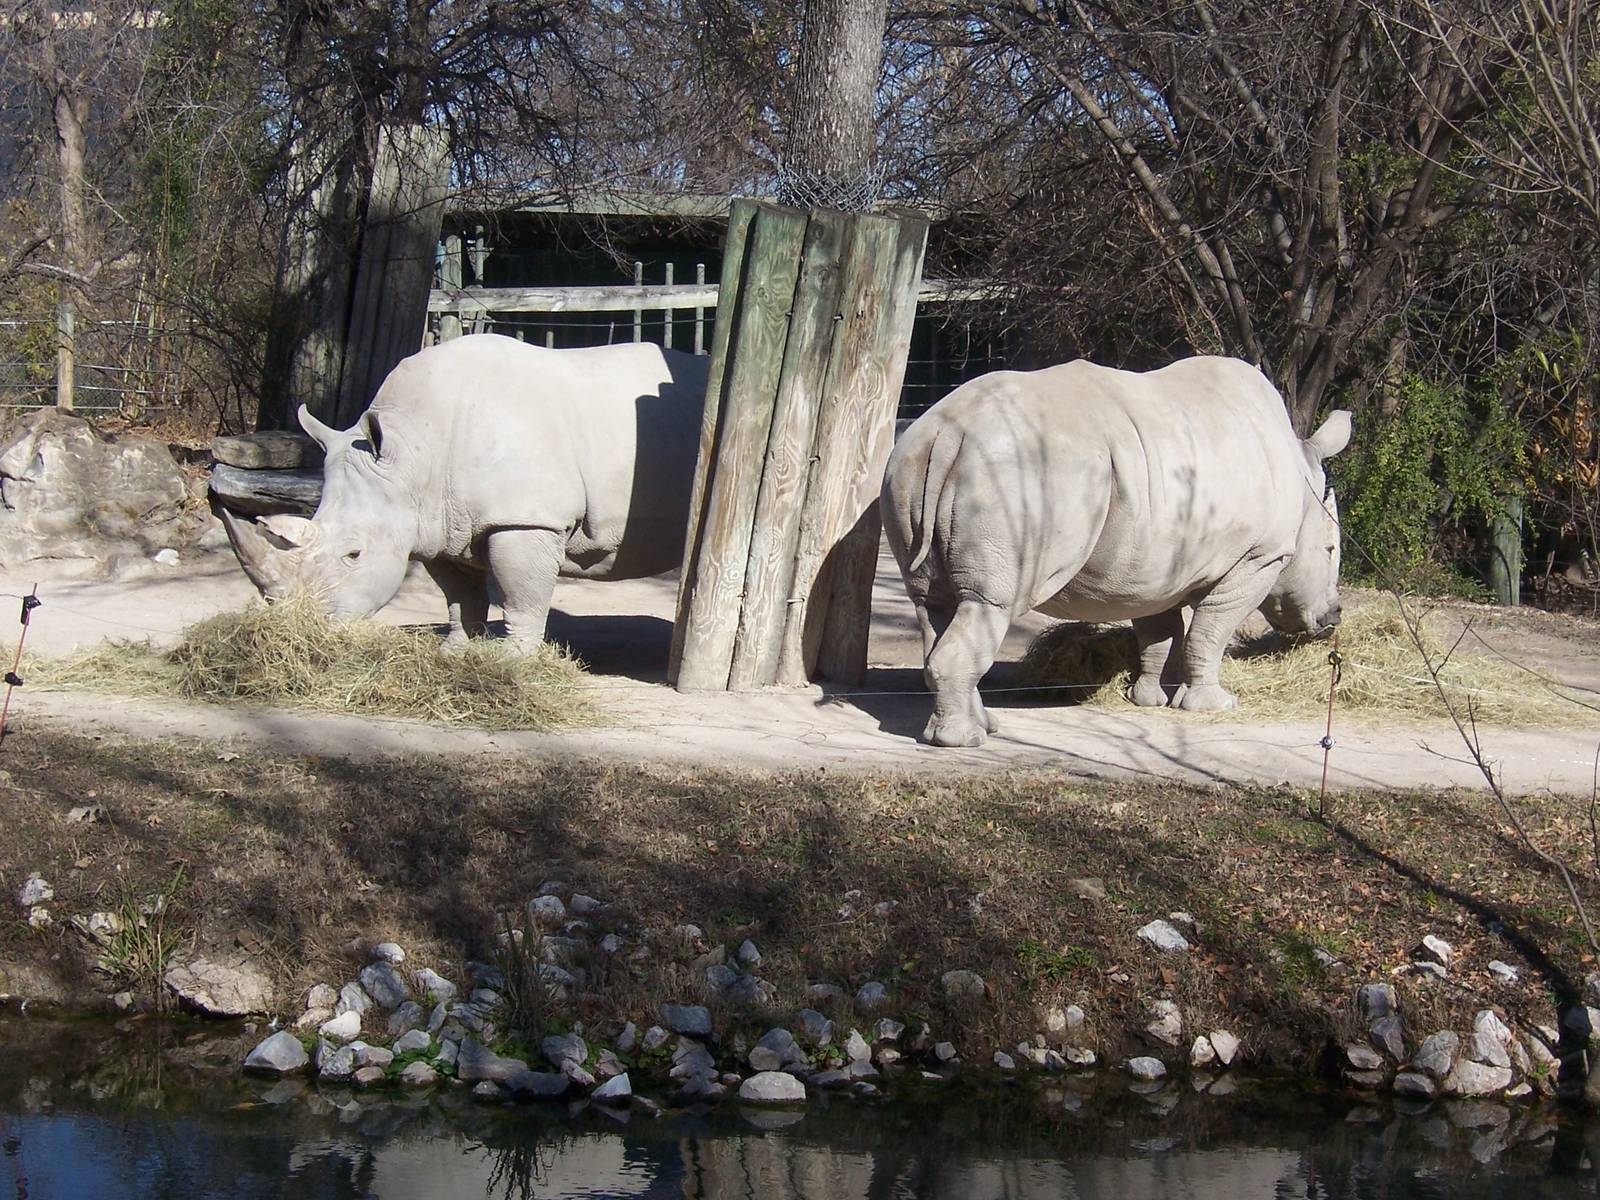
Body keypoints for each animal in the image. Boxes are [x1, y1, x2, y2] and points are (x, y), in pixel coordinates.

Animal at [217, 334, 708, 642]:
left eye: (353, 554)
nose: (300, 625)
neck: (413, 453)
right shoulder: (439, 523)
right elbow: (459, 597)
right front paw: (455, 650)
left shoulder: (525, 518)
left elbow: (522, 598)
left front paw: (514, 662)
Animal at [881, 355, 1351, 747]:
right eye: (1329, 549)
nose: (1333, 616)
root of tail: (948, 435)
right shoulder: (1259, 558)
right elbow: (1210, 630)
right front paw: (1213, 705)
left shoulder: (1154, 565)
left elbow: (1159, 632)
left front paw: (1147, 699)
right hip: (1021, 474)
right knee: (990, 603)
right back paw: (964, 741)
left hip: (910, 461)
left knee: (934, 605)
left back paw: (983, 725)